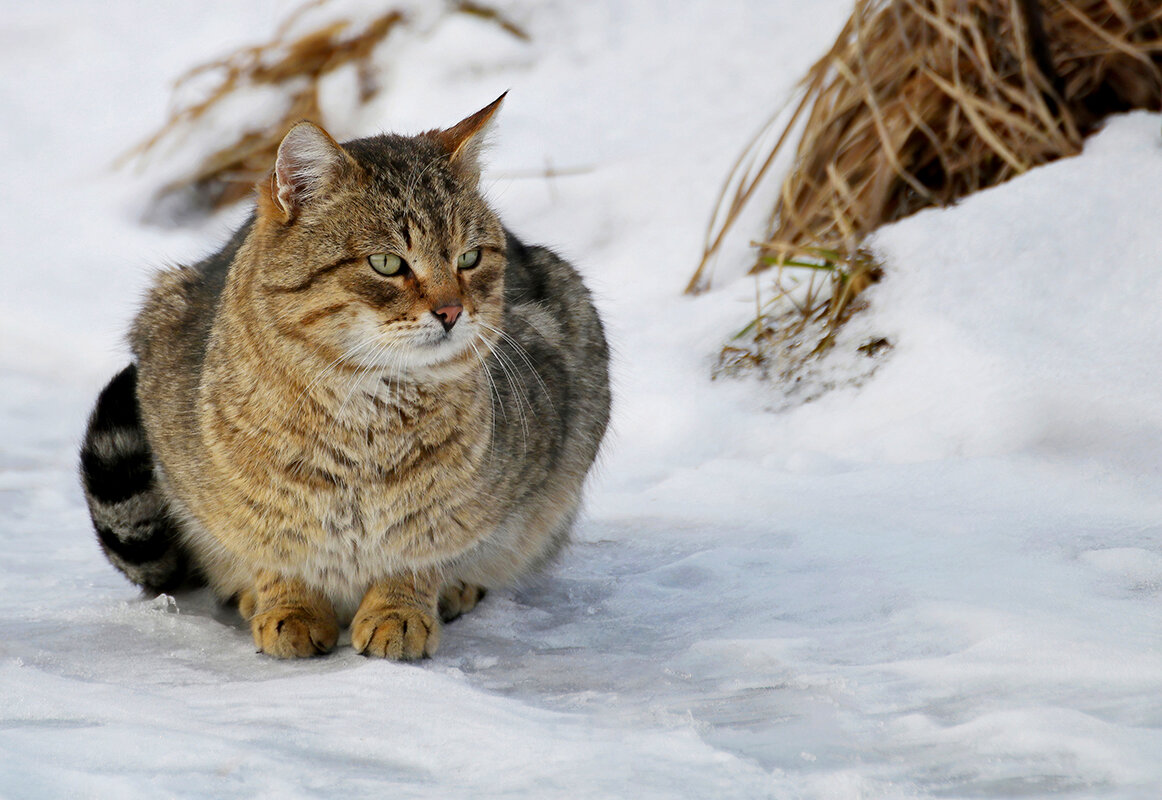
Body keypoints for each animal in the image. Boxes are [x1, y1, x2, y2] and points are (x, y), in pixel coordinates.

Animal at [78, 93, 613, 660]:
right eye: (386, 263)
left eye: (468, 257)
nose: (451, 311)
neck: (366, 411)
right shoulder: (242, 510)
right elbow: (276, 553)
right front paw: (287, 607)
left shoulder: (452, 513)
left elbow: (419, 553)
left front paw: (400, 610)